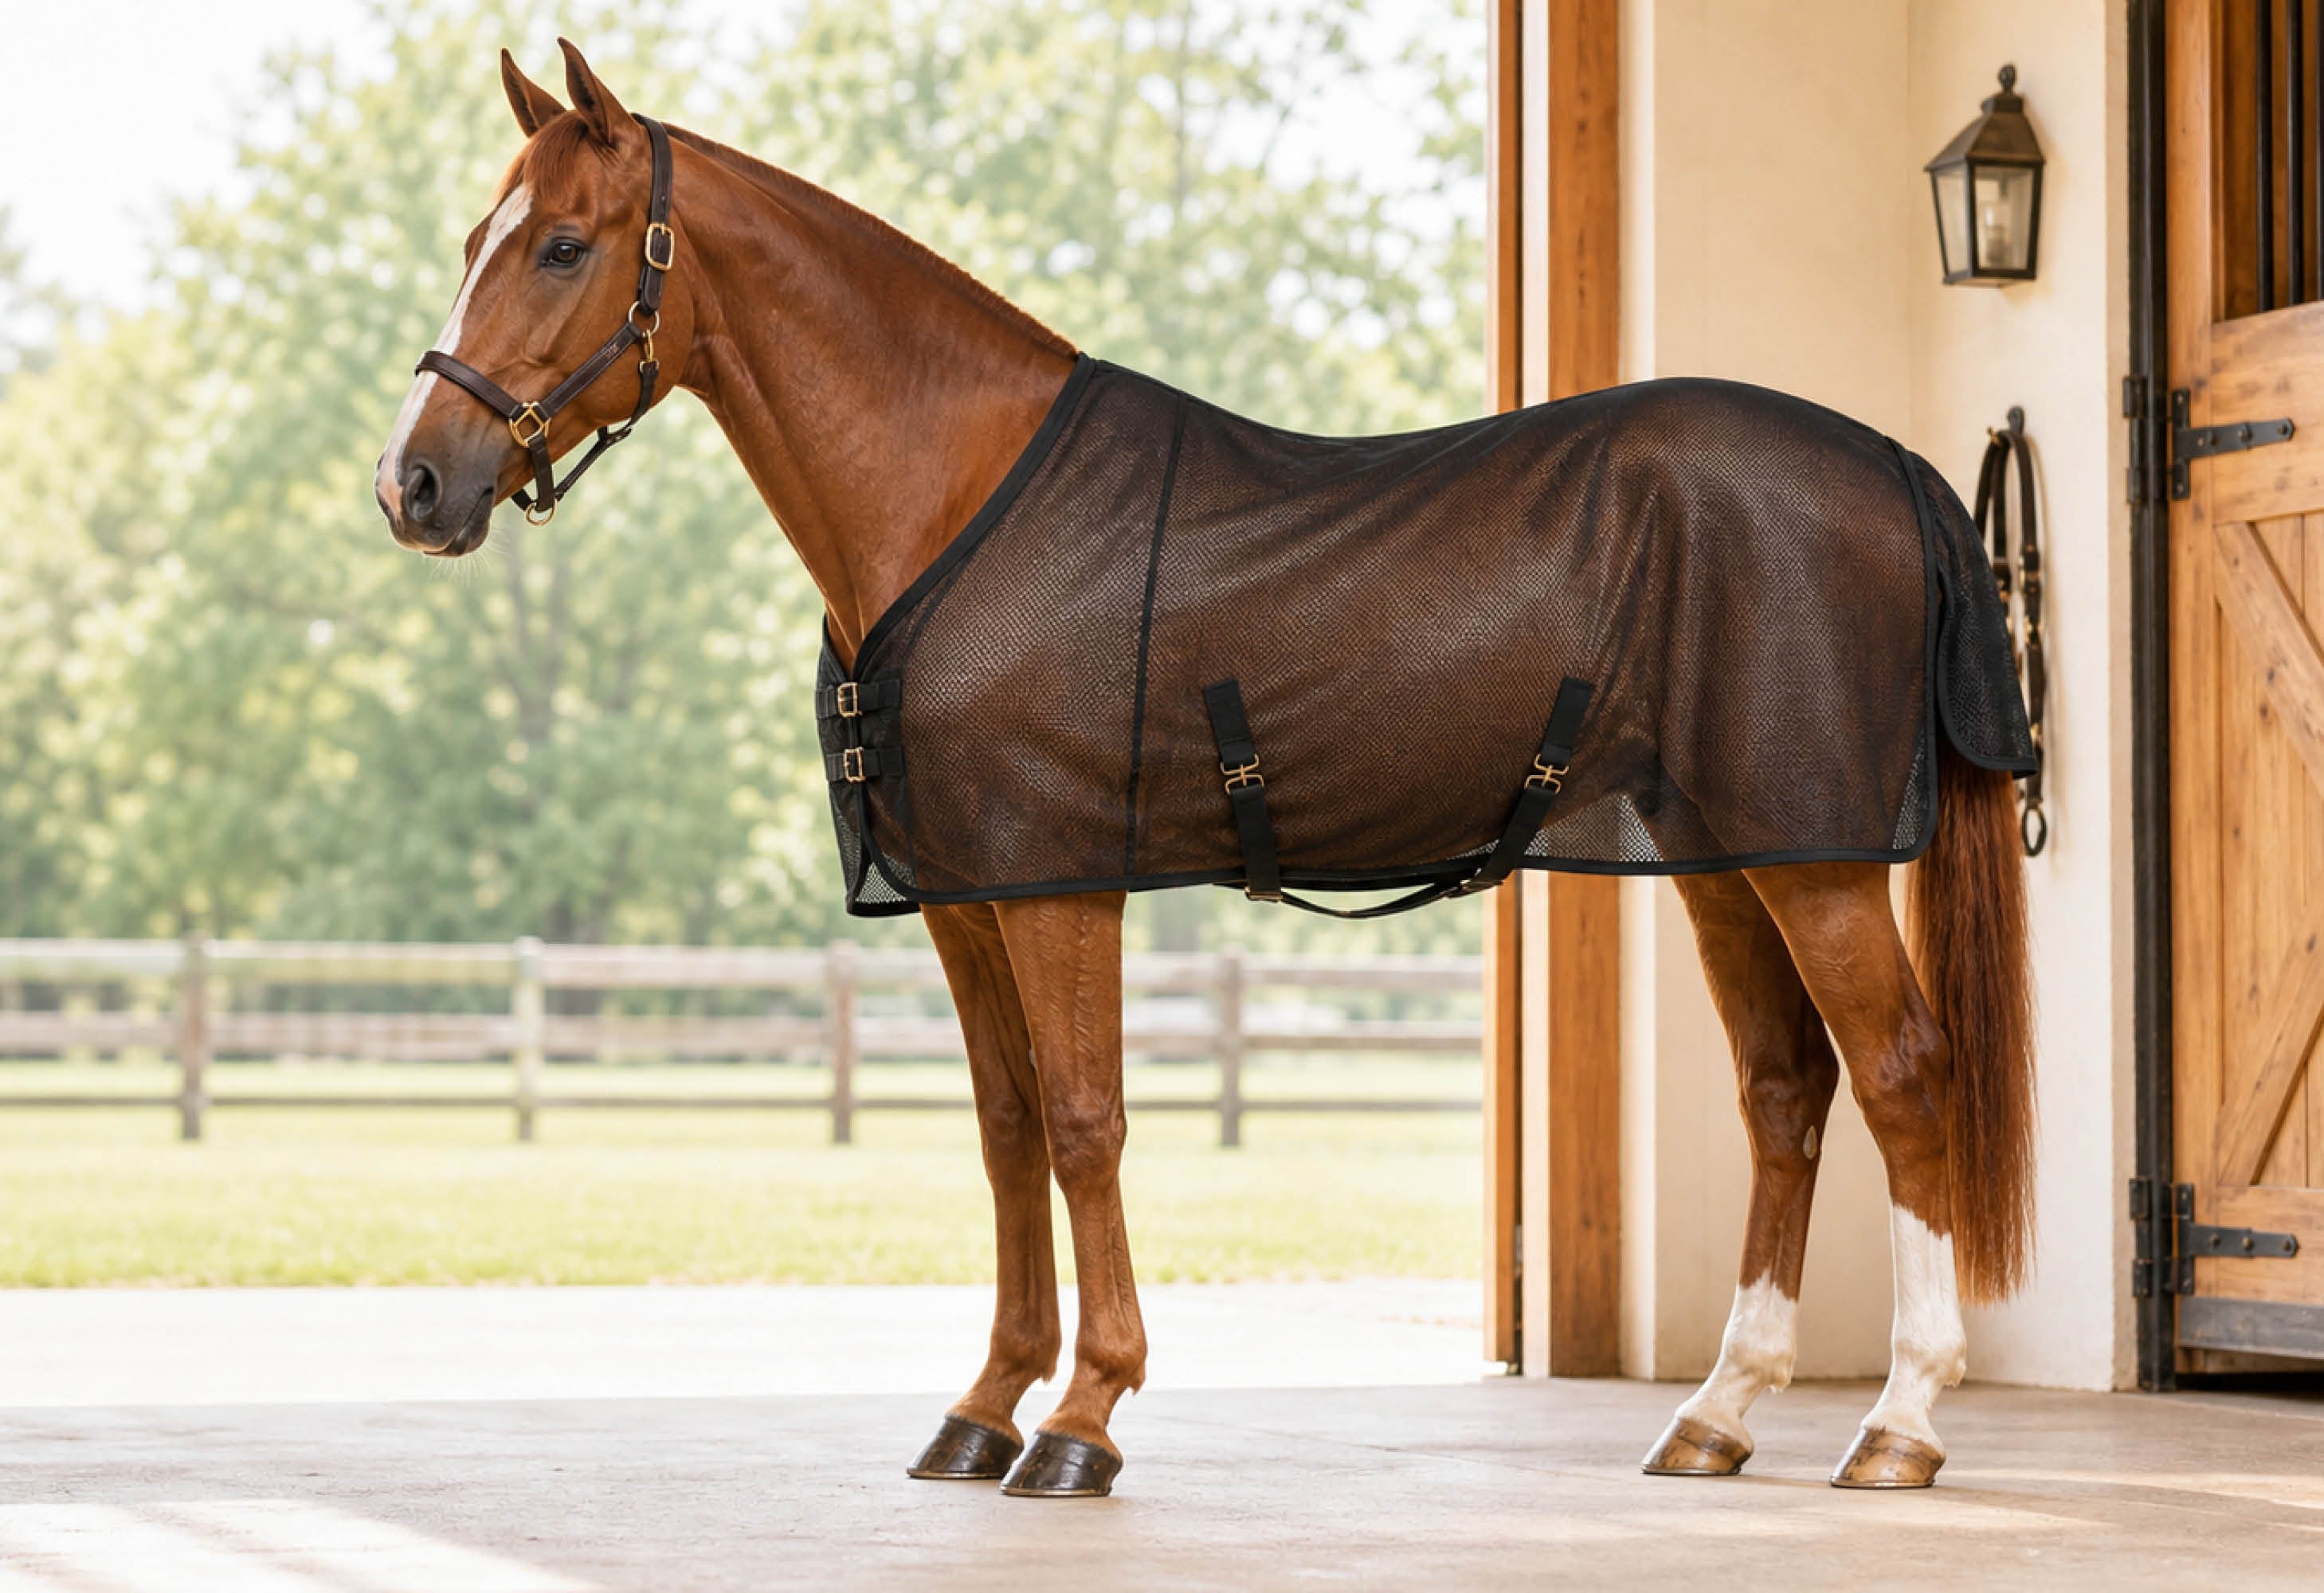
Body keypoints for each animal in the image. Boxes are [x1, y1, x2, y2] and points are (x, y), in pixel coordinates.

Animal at [375, 41, 2035, 1497]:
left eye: (564, 246)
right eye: (477, 238)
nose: (415, 482)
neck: (957, 497)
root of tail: (1894, 468)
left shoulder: (1060, 889)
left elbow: (1086, 1123)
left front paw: (1082, 1419)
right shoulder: (967, 898)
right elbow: (1007, 1132)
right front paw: (985, 1407)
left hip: (1815, 860)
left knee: (1902, 1076)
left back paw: (1898, 1425)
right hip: (1727, 857)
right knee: (1784, 1088)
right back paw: (1718, 1412)